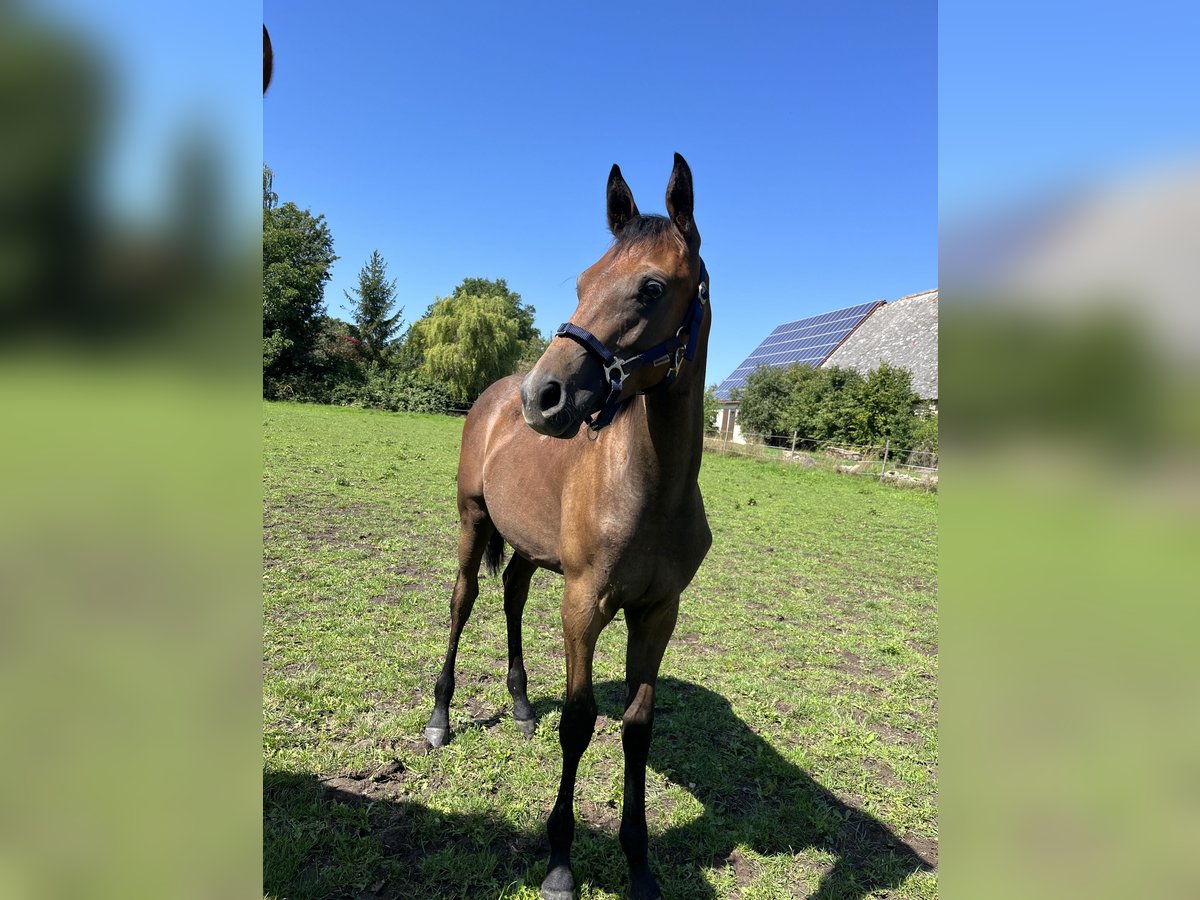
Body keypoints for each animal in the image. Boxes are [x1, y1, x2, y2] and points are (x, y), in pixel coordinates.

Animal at [427, 154, 710, 900]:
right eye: (583, 281)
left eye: (651, 287)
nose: (543, 396)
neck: (652, 492)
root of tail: (494, 393)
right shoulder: (585, 605)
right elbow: (581, 723)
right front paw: (559, 862)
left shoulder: (657, 612)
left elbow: (637, 727)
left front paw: (639, 865)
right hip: (472, 522)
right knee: (464, 601)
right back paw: (438, 718)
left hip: (528, 548)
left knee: (512, 597)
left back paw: (524, 706)